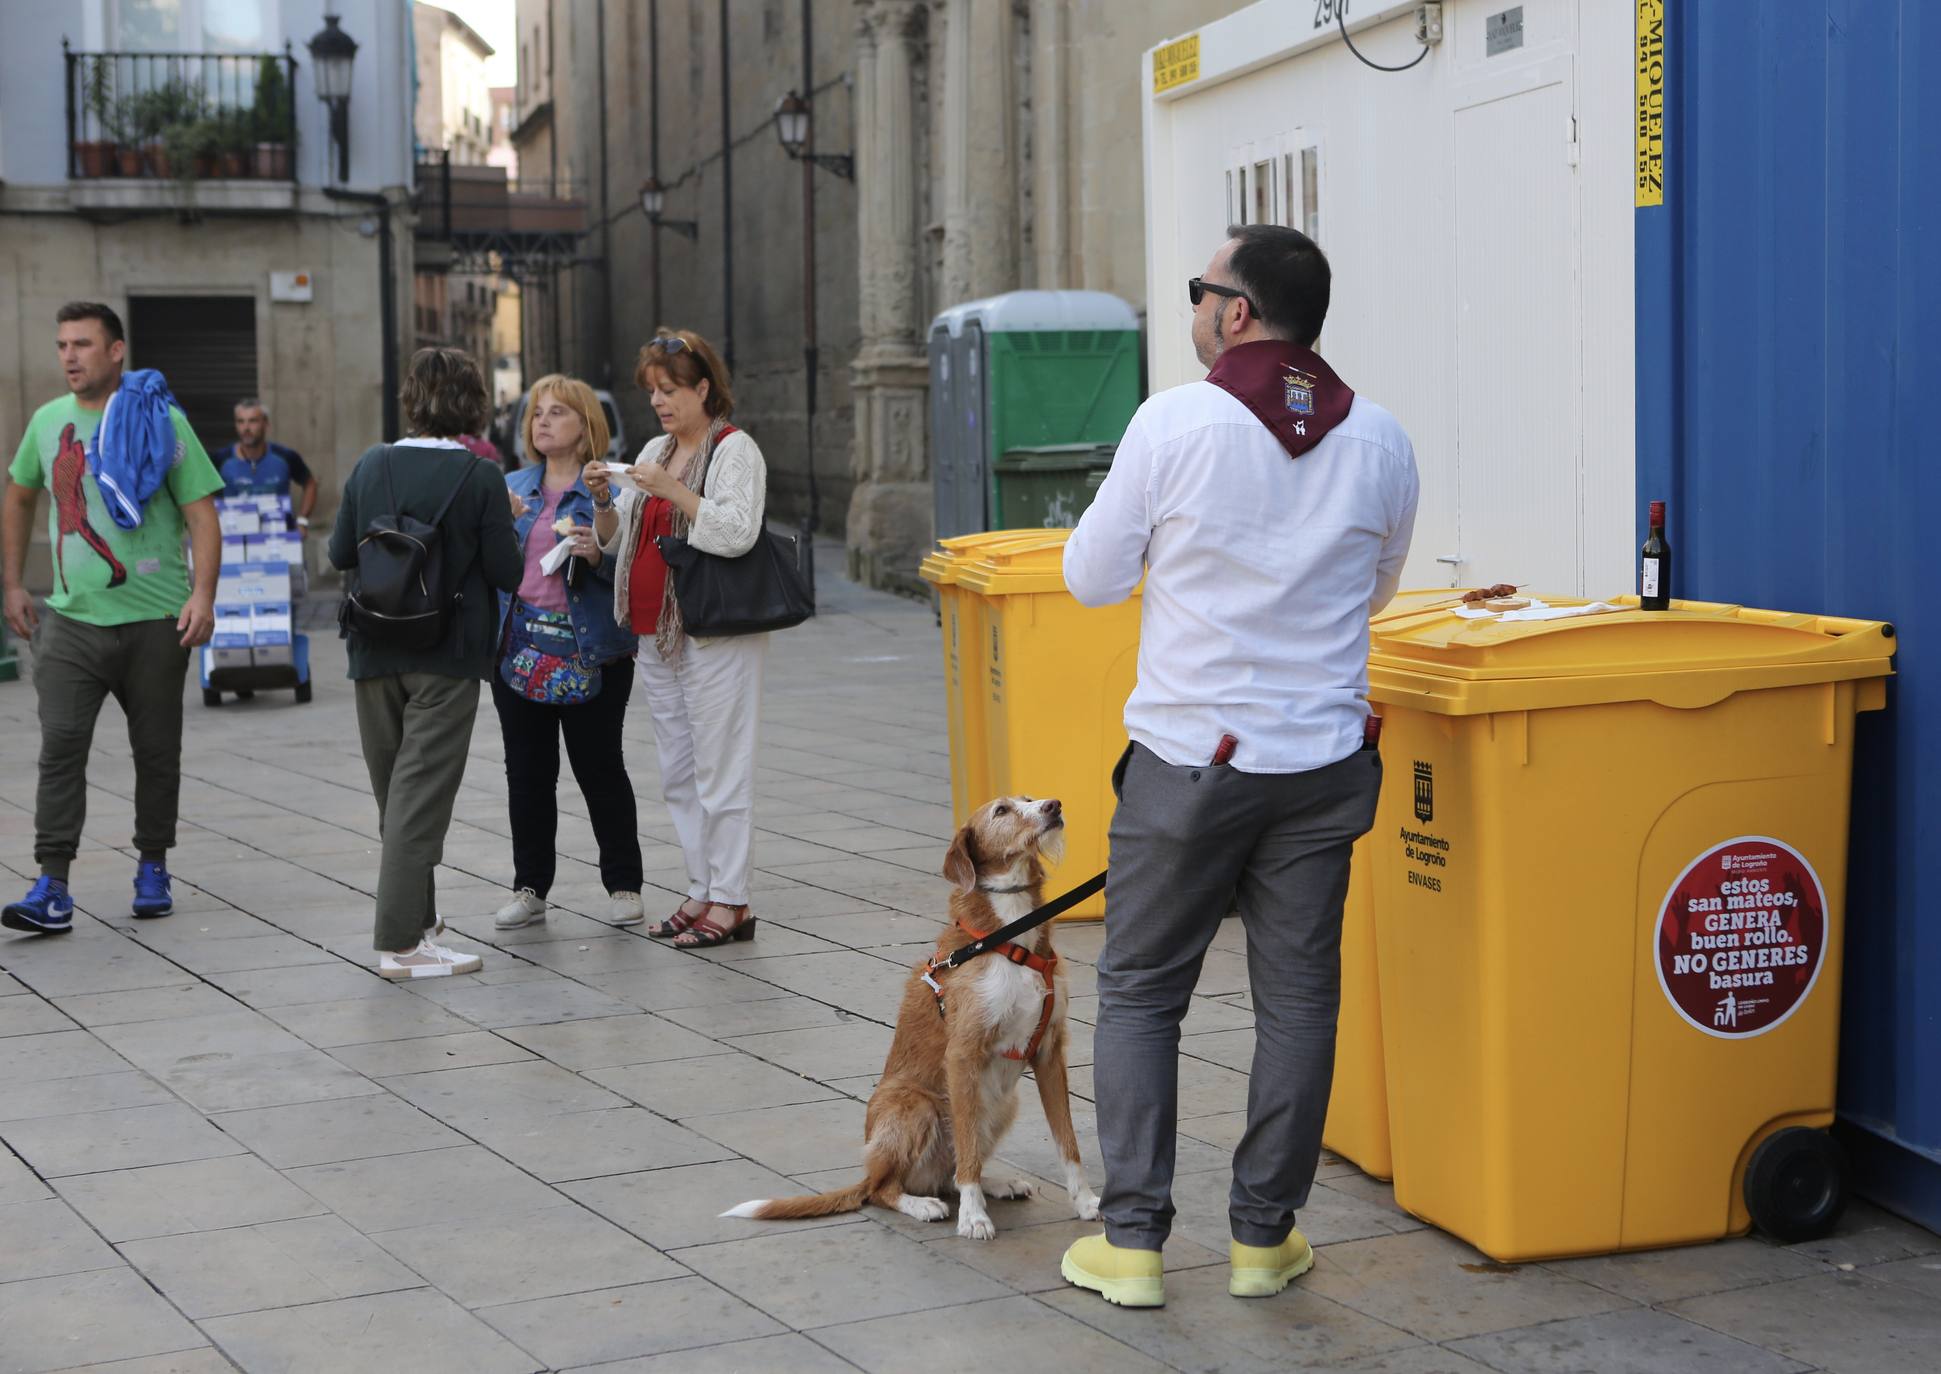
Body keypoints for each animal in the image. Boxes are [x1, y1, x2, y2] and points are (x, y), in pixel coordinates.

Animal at [722, 795, 1102, 1234]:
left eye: (1030, 799)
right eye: (1001, 811)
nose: (1053, 805)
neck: (1009, 937)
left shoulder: (1049, 1052)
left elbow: (1067, 1141)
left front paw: (1085, 1201)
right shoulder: (963, 1054)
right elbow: (968, 1148)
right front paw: (973, 1219)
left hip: (1003, 1104)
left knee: (950, 1173)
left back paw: (995, 1184)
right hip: (916, 1104)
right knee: (885, 1189)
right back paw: (921, 1205)